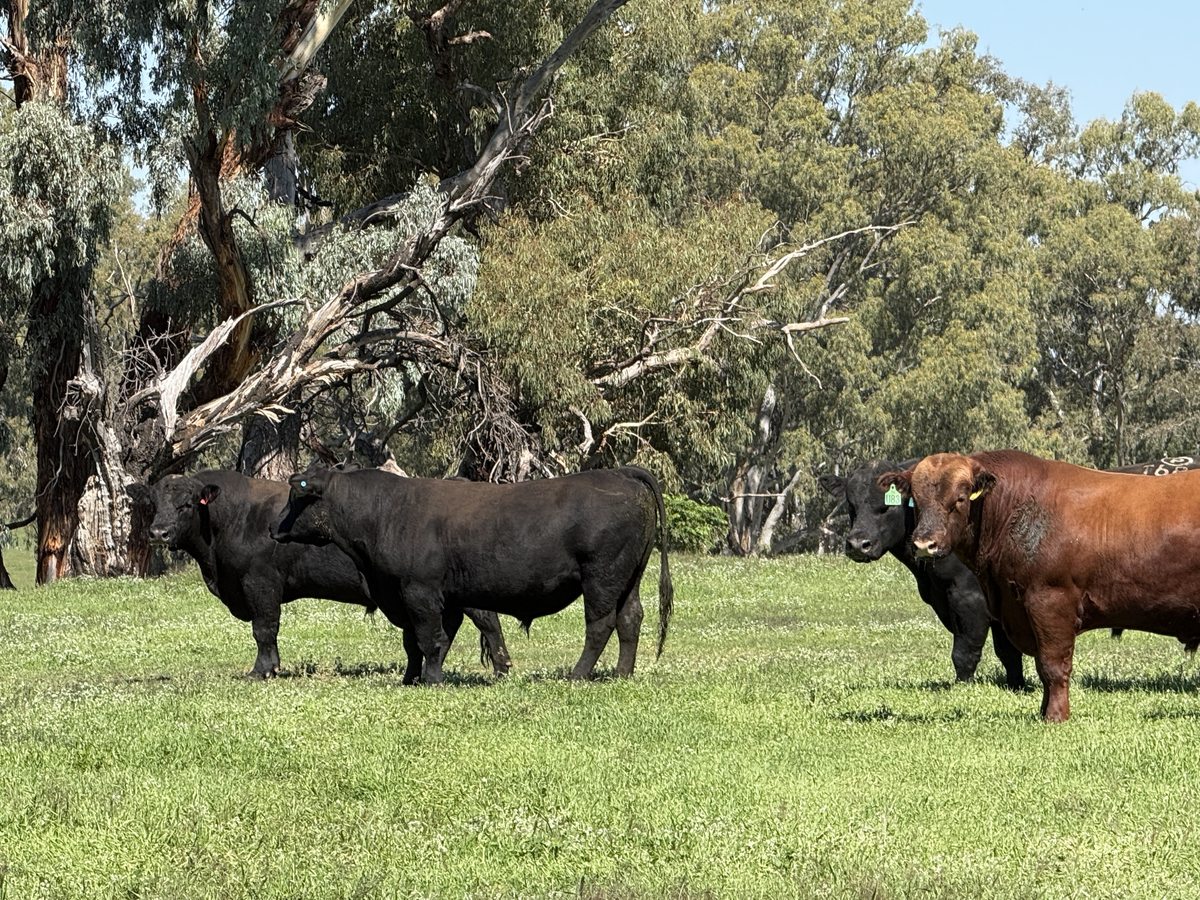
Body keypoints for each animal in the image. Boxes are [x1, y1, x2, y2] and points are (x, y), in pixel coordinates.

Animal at [127, 470, 513, 682]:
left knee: (487, 619)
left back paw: (502, 668)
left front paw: (264, 670)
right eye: (153, 504)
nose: (158, 533)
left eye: (187, 504)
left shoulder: (260, 583)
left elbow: (264, 629)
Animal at [270, 464, 674, 685]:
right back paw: (622, 673)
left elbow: (429, 639)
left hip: (602, 578)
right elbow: (424, 642)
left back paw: (578, 674)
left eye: (297, 494)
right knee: (630, 618)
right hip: (629, 577)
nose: (274, 529)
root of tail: (621, 472)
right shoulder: (434, 599)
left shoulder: (420, 593)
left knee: (600, 624)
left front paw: (432, 680)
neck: (386, 513)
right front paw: (413, 678)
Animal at [820, 460, 1025, 689]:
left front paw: (962, 687)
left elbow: (965, 651)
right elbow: (1008, 652)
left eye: (887, 506)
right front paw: (1016, 686)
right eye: (850, 506)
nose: (858, 545)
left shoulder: (969, 594)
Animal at [880, 449, 1200, 722]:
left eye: (959, 498)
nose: (925, 544)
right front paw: (1044, 710)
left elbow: (1052, 665)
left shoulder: (1050, 601)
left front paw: (1056, 716)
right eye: (915, 499)